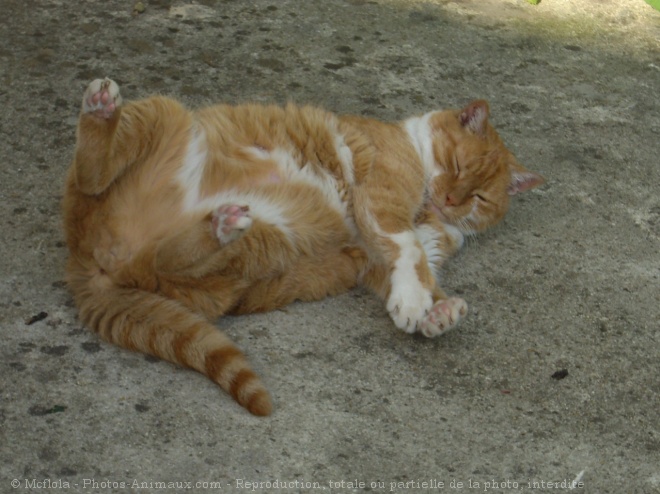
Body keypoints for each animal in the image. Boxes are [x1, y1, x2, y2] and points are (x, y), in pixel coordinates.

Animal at [64, 79, 544, 414]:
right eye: (457, 165)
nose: (449, 200)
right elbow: (409, 249)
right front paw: (415, 305)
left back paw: (220, 225)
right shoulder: (382, 203)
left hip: (258, 248)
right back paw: (101, 110)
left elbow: (420, 272)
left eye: (479, 197)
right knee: (90, 175)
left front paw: (437, 313)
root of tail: (85, 264)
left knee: (171, 256)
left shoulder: (375, 260)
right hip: (164, 114)